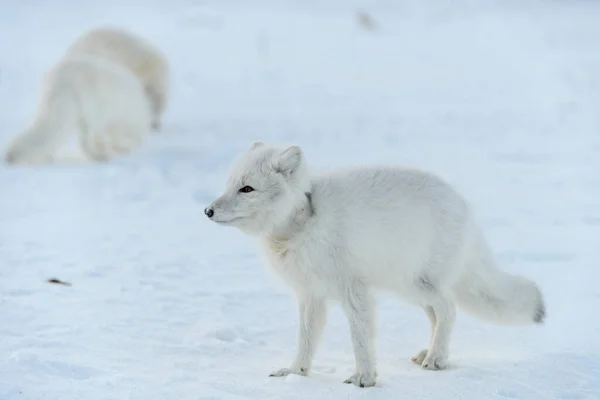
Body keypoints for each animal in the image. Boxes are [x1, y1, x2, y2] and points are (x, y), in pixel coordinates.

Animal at [204, 143, 548, 388]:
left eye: (247, 189)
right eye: (229, 185)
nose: (207, 210)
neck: (304, 222)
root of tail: (465, 207)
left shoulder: (354, 291)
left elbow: (360, 338)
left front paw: (365, 379)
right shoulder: (310, 296)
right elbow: (305, 340)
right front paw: (295, 374)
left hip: (415, 284)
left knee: (449, 309)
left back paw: (436, 358)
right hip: (412, 290)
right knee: (438, 315)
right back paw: (430, 354)